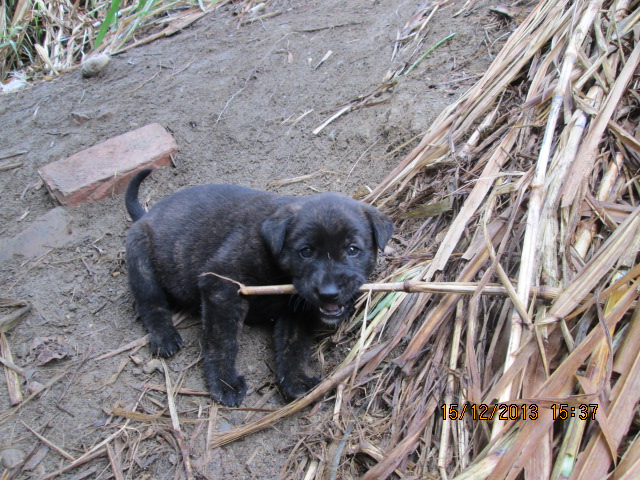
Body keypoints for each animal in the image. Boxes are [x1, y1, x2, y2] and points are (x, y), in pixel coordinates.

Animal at [124, 168, 392, 404]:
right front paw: (225, 383)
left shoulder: (295, 310)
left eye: (352, 249)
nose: (329, 293)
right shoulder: (220, 287)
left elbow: (293, 346)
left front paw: (295, 380)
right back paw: (164, 337)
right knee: (150, 302)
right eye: (305, 252)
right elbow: (223, 341)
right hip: (139, 256)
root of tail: (146, 215)